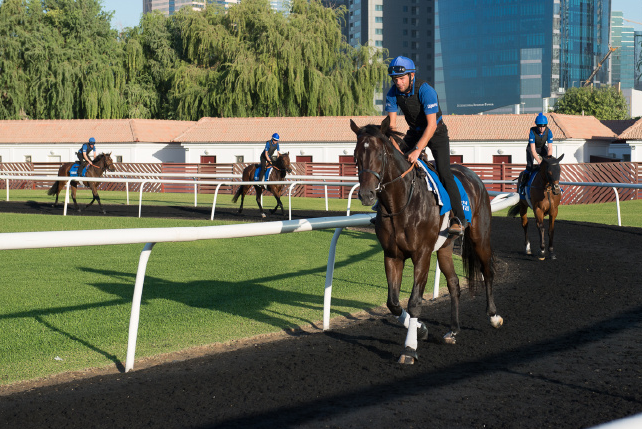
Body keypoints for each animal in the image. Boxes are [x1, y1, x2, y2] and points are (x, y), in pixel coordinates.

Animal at [350, 117, 500, 364]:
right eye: (355, 154)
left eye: (380, 154)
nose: (366, 194)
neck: (402, 203)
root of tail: (473, 175)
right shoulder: (392, 255)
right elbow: (393, 303)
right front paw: (421, 329)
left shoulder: (422, 254)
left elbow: (414, 302)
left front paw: (409, 348)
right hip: (445, 247)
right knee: (454, 283)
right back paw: (453, 329)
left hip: (480, 237)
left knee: (487, 270)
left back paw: (494, 315)